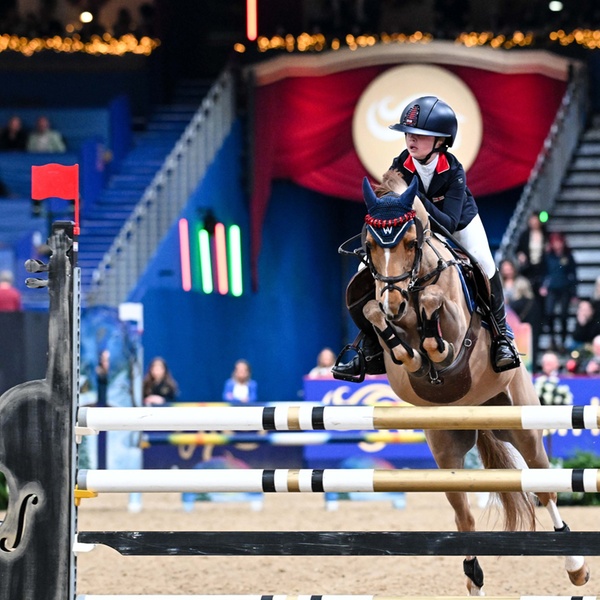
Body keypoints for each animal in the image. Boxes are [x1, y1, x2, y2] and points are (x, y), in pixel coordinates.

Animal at [347, 173, 590, 595]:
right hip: (446, 451)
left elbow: (435, 317)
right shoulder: (384, 318)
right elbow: (374, 313)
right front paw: (405, 347)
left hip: (523, 427)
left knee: (543, 487)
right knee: (463, 514)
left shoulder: (457, 326)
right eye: (370, 246)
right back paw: (474, 578)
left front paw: (430, 340)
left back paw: (575, 565)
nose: (395, 303)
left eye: (409, 243)